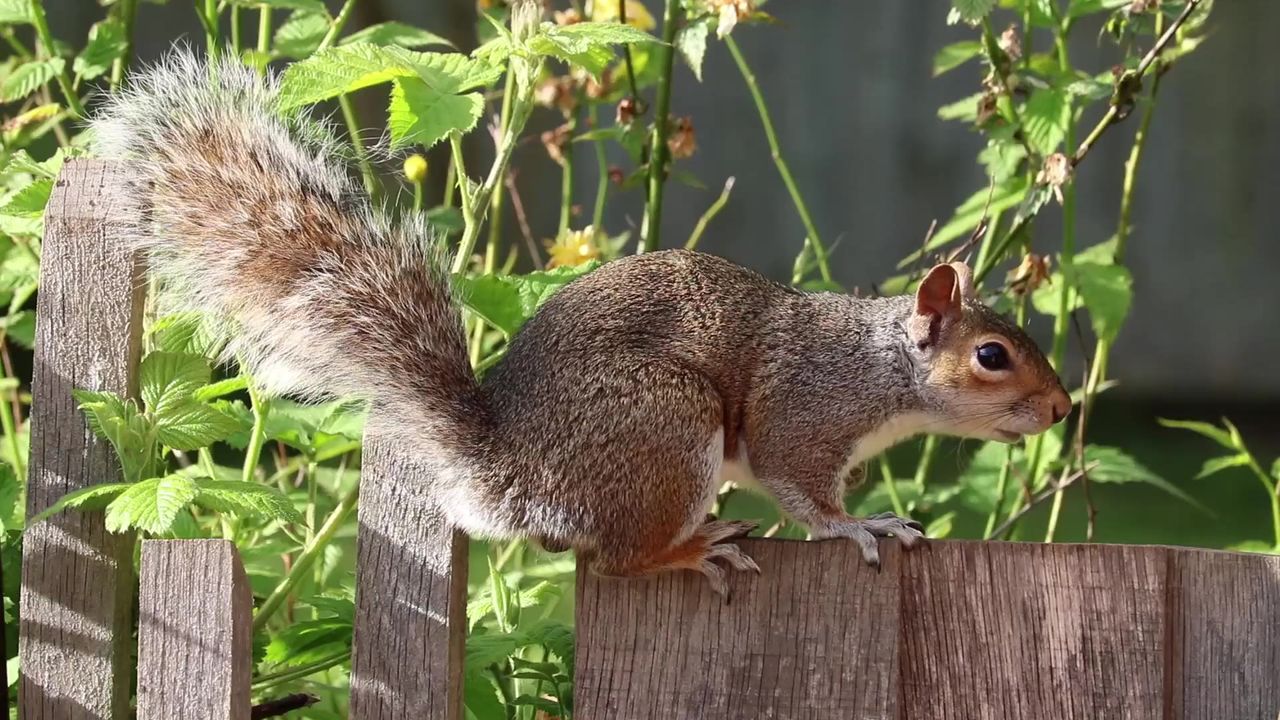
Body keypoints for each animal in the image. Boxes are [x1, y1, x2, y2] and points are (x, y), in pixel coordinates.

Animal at [87, 53, 1070, 594]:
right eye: (992, 355)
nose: (1062, 410)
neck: (881, 370)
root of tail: (507, 478)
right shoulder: (805, 415)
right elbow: (802, 491)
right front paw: (860, 527)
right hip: (666, 423)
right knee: (616, 563)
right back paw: (690, 550)